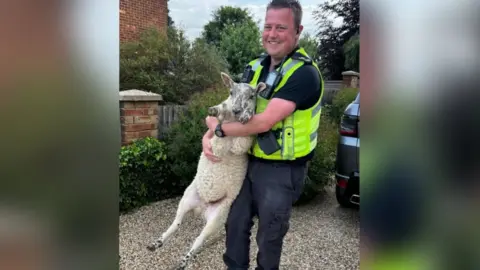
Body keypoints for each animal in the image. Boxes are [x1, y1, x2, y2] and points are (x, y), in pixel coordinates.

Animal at [146, 70, 266, 268]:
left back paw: (183, 260)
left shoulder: (241, 145)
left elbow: (245, 135)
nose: (237, 110)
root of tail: (201, 209)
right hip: (187, 198)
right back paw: (156, 243)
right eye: (231, 92)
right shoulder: (214, 138)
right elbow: (219, 117)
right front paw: (216, 110)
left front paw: (246, 116)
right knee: (176, 223)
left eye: (252, 96)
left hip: (218, 217)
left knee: (199, 239)